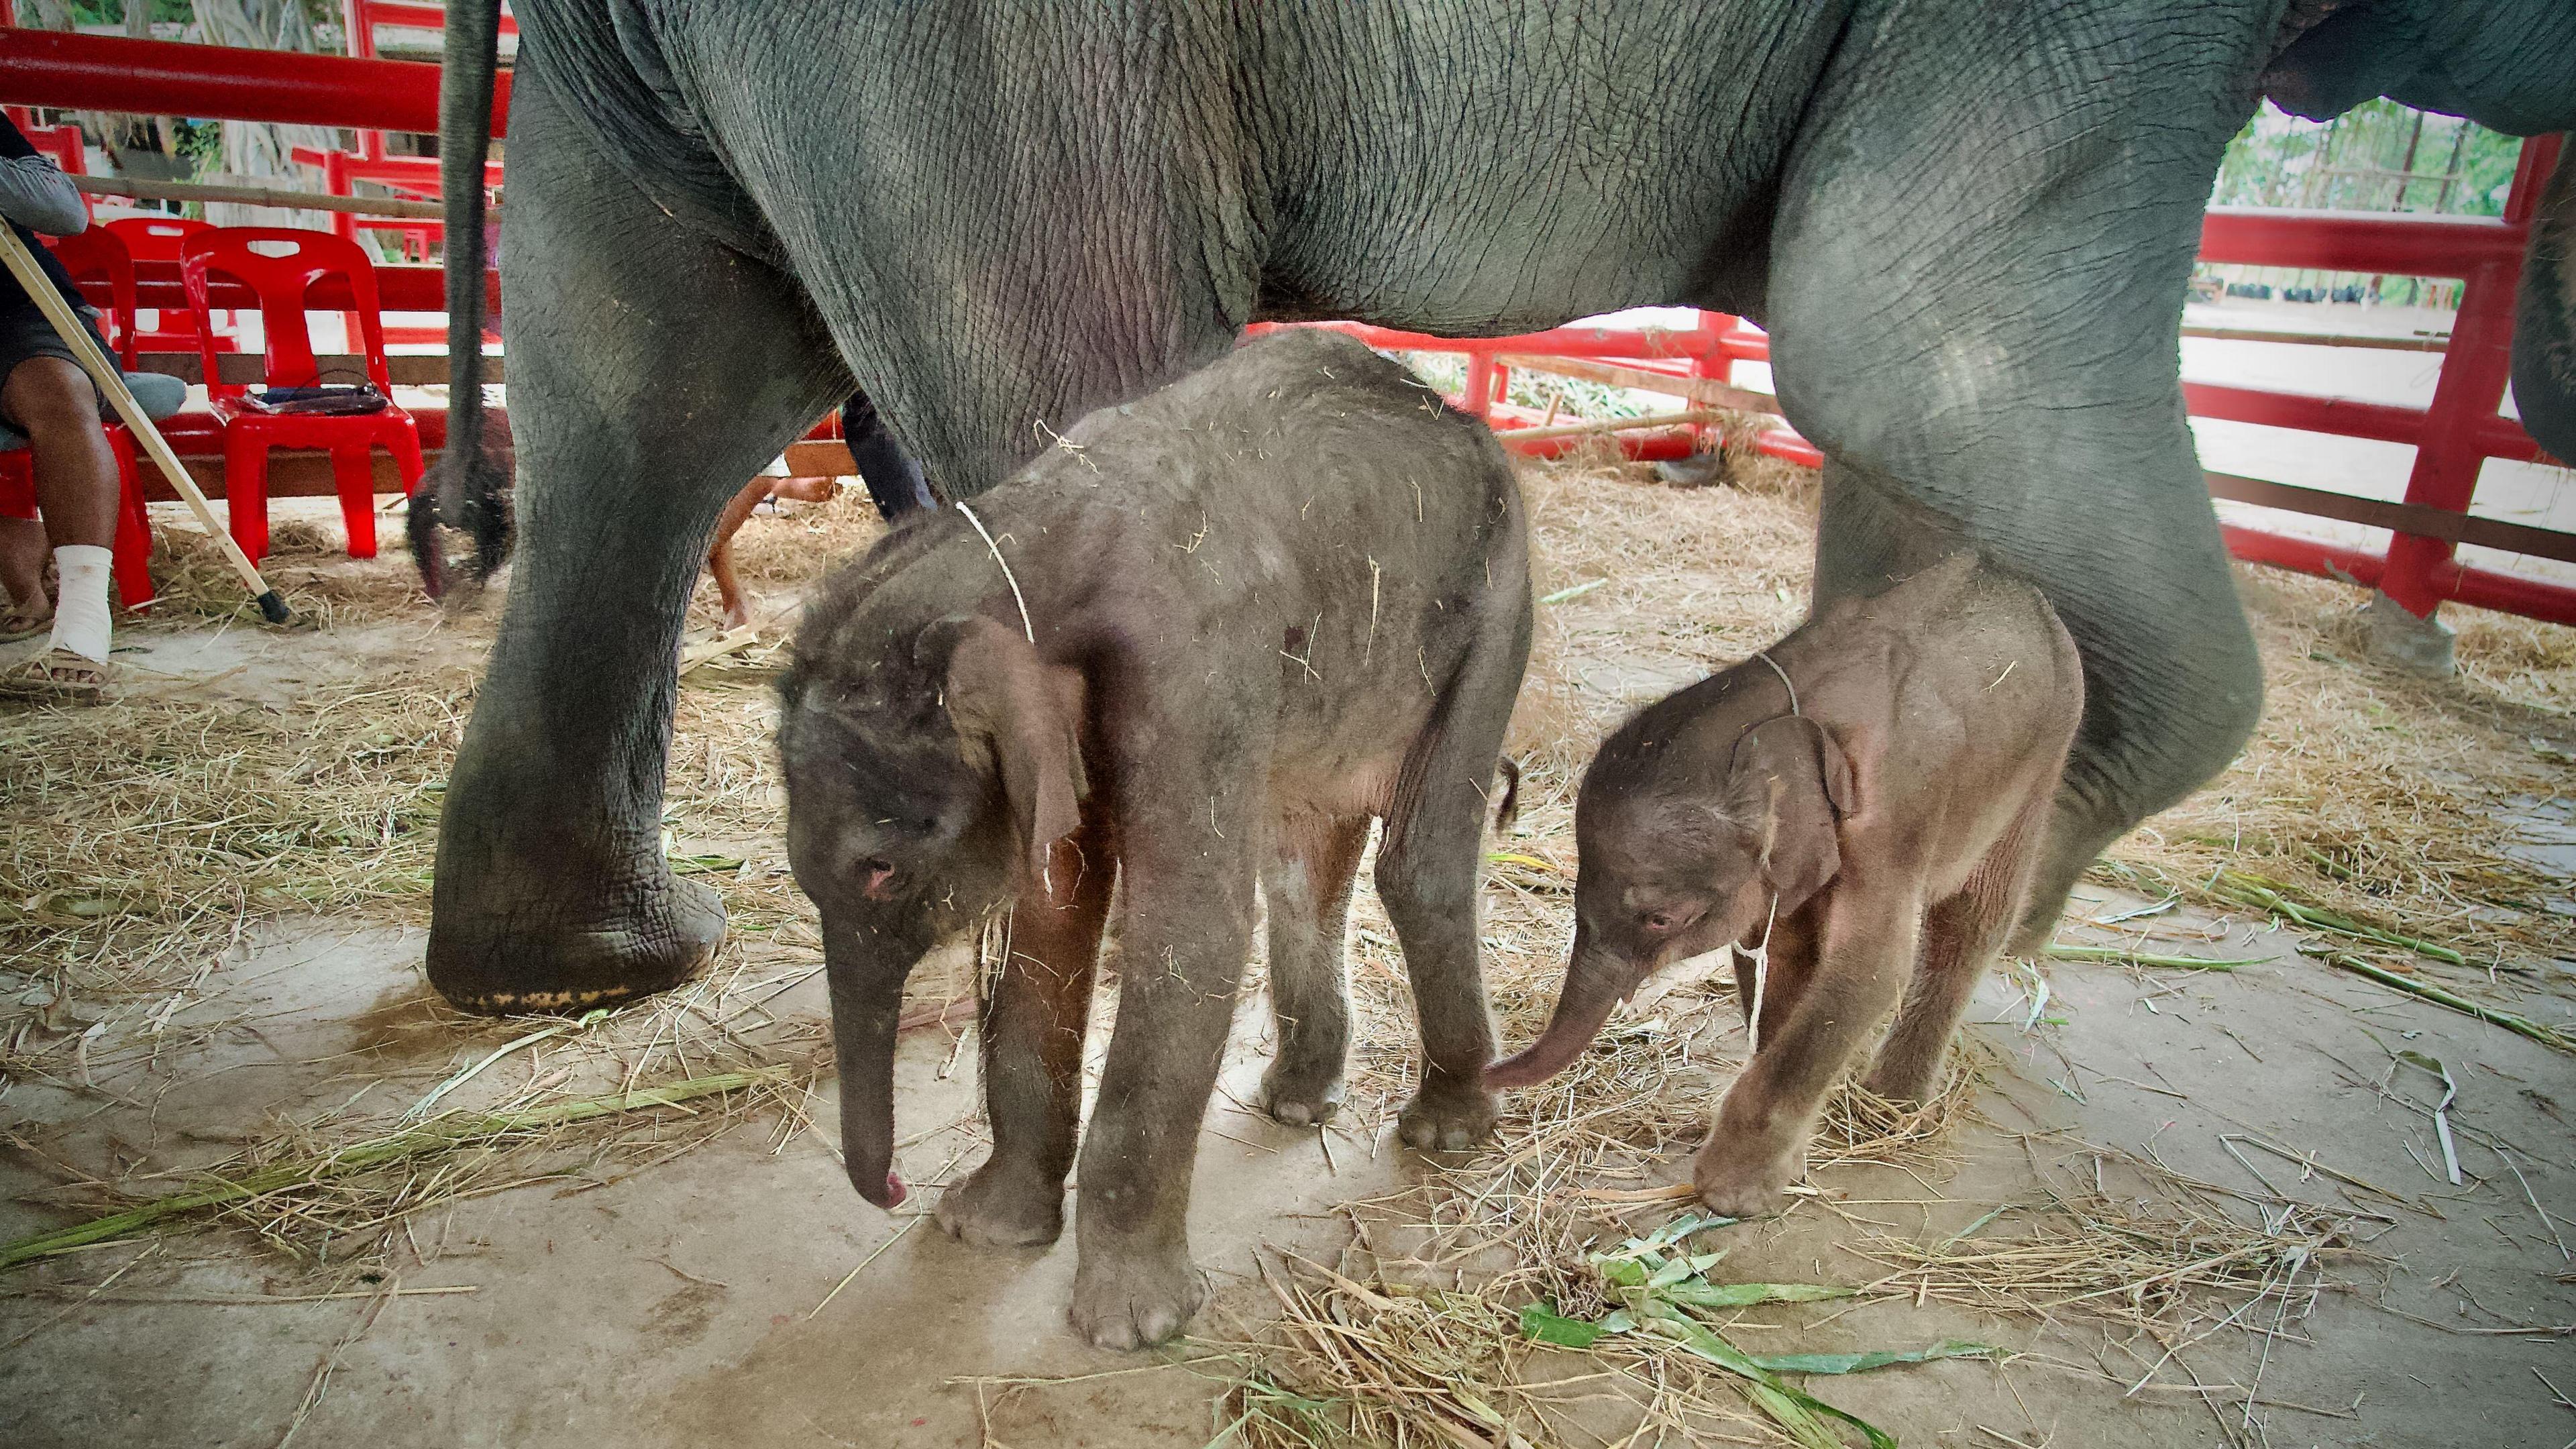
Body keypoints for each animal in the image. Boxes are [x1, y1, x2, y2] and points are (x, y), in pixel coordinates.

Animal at [773, 327, 1514, 1340]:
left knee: (1420, 862)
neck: (1022, 539)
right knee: (1300, 863)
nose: (890, 1192)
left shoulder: (1197, 668)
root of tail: (1457, 417)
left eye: (882, 869)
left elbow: (1187, 931)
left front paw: (1130, 1328)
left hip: (1500, 602)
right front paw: (983, 1232)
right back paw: (1295, 1103)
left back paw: (1443, 1131)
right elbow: (1048, 926)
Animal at [1504, 551, 2081, 1206]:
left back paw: (1893, 1107)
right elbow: (1778, 950)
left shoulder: (1896, 819)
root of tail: (2014, 578)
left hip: (2044, 761)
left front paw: (1729, 1194)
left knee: (1975, 920)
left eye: (1661, 918)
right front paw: (1787, 1165)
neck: (1788, 710)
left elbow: (1871, 969)